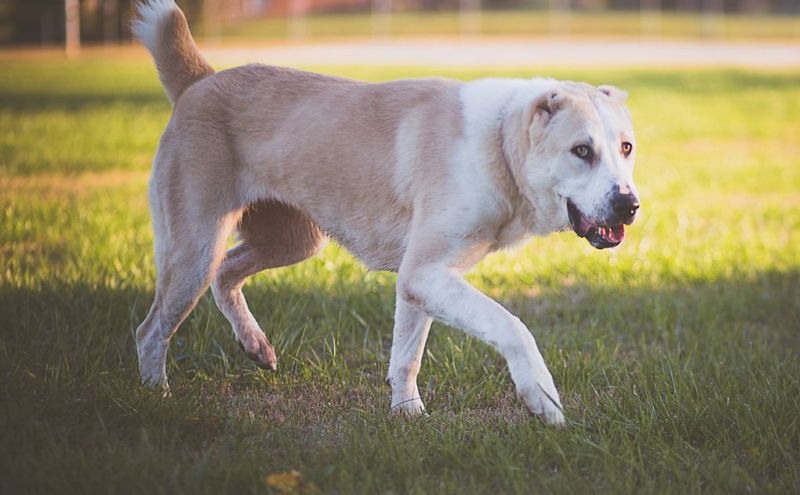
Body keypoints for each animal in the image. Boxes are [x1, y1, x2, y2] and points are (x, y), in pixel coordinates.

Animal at [134, 0, 640, 426]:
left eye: (626, 148)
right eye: (581, 150)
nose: (629, 205)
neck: (499, 144)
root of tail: (200, 81)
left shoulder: (419, 281)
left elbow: (406, 356)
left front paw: (408, 414)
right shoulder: (424, 272)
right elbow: (511, 326)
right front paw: (542, 397)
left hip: (293, 241)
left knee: (226, 273)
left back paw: (255, 345)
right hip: (194, 248)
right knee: (150, 330)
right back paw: (157, 399)